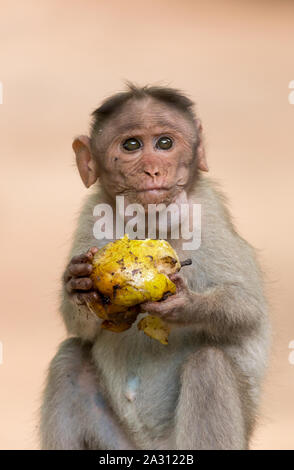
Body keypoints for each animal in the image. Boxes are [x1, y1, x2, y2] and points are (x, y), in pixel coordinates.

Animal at [39, 82, 272, 450]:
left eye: (165, 143)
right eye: (132, 145)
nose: (153, 169)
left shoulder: (207, 212)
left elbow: (247, 308)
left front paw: (185, 304)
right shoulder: (92, 213)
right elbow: (80, 330)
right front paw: (77, 285)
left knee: (208, 367)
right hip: (118, 443)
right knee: (69, 358)